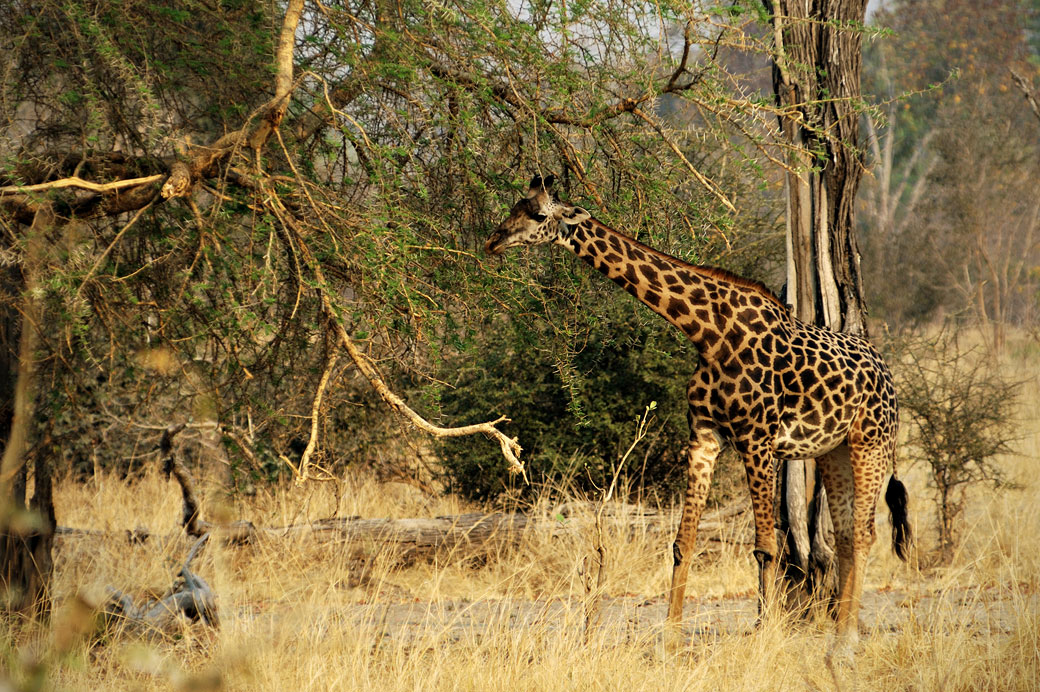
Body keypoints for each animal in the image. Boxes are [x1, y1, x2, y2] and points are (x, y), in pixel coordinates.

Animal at [486, 175, 911, 649]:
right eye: (514, 206)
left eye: (539, 214)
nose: (493, 241)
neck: (709, 334)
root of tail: (887, 375)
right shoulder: (704, 438)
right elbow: (682, 542)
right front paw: (670, 637)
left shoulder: (757, 441)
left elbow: (766, 546)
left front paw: (764, 633)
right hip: (831, 452)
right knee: (846, 534)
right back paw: (840, 629)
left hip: (871, 444)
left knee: (866, 533)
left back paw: (848, 636)